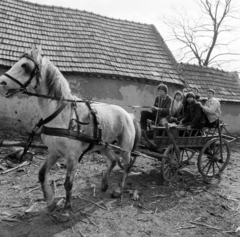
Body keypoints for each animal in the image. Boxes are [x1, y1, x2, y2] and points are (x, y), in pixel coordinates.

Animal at [0, 45, 141, 218]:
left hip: (125, 148)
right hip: (102, 146)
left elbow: (68, 183)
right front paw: (50, 202)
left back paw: (118, 190)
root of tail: (128, 114)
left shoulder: (72, 157)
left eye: (25, 66)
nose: (2, 81)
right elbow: (41, 174)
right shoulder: (54, 151)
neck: (62, 114)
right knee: (113, 160)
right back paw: (104, 184)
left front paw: (67, 208)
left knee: (126, 166)